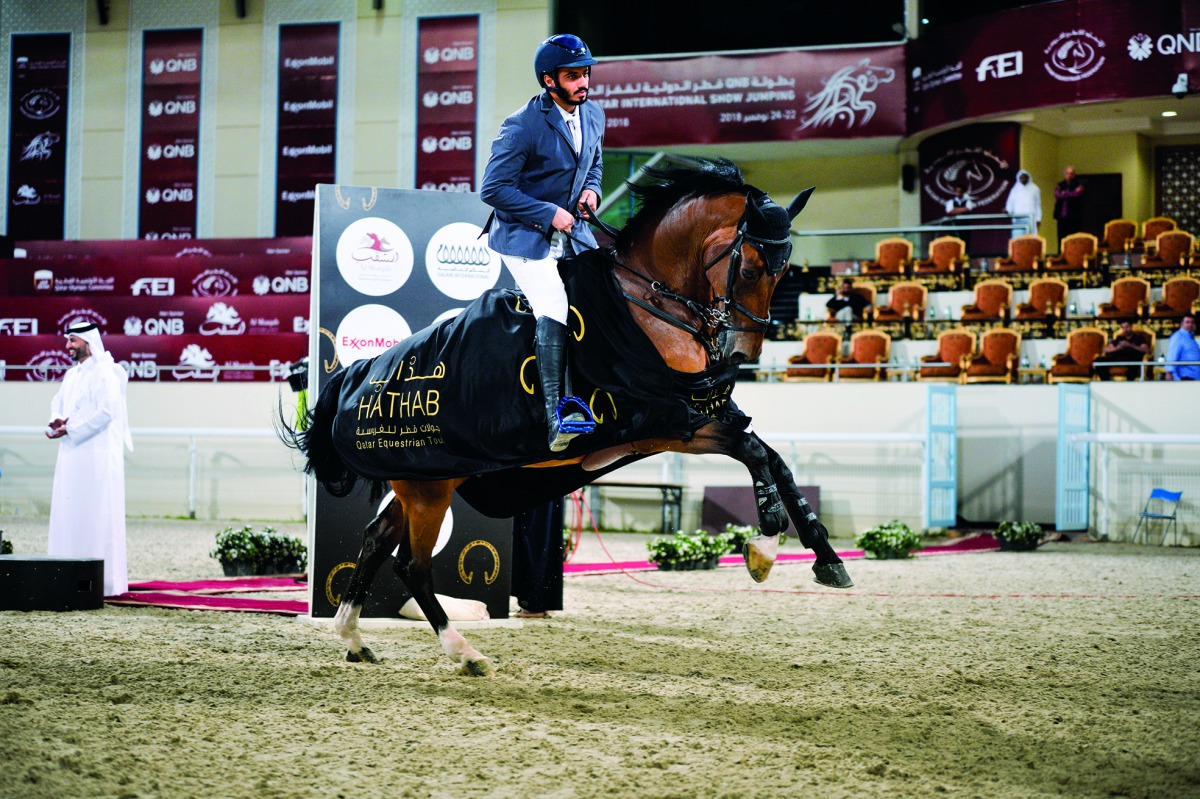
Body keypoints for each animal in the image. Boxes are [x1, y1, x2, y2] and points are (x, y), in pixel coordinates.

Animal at [280, 158, 854, 676]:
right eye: (752, 268)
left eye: (785, 273)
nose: (739, 356)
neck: (649, 306)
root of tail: (356, 376)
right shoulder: (669, 425)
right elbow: (755, 453)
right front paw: (765, 545)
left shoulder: (697, 417)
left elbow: (776, 461)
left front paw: (826, 558)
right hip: (429, 489)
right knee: (412, 565)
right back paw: (464, 653)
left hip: (427, 479)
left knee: (376, 540)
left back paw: (353, 637)